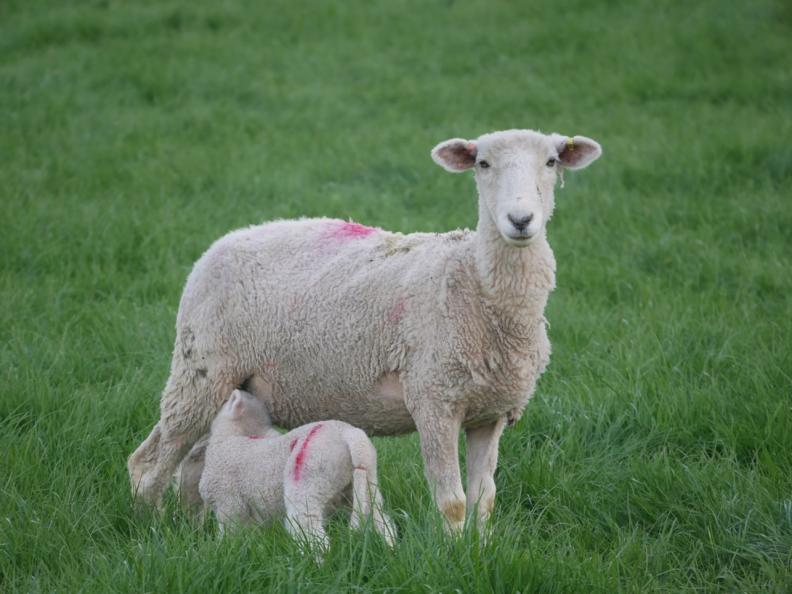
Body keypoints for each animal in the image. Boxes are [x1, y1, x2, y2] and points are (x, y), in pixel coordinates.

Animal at [128, 128, 602, 532]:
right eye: (482, 163)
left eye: (552, 161)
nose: (520, 220)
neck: (473, 280)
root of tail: (219, 244)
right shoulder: (434, 400)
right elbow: (452, 502)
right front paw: (454, 558)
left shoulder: (491, 412)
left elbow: (483, 500)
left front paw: (479, 555)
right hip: (201, 368)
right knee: (149, 463)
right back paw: (153, 531)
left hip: (224, 384)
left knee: (193, 462)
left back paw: (194, 528)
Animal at [197, 389, 395, 553]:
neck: (231, 438)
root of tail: (350, 435)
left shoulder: (228, 501)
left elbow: (231, 533)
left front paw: (223, 550)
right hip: (365, 482)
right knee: (381, 520)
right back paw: (390, 549)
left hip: (308, 480)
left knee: (311, 532)